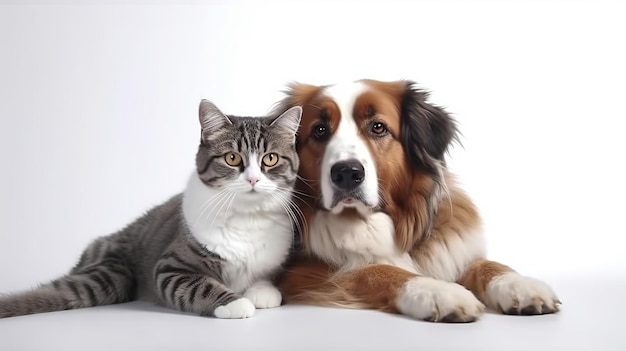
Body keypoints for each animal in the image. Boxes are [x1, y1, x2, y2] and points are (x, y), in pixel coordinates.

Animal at [0, 100, 302, 320]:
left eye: (270, 159)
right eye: (232, 158)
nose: (253, 179)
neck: (246, 216)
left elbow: (263, 276)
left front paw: (262, 291)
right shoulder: (171, 267)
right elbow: (199, 285)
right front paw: (235, 303)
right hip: (110, 274)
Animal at [272, 79, 560, 322]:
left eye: (378, 127)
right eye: (320, 131)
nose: (346, 173)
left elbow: (485, 264)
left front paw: (519, 284)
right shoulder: (306, 271)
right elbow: (373, 270)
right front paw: (438, 291)